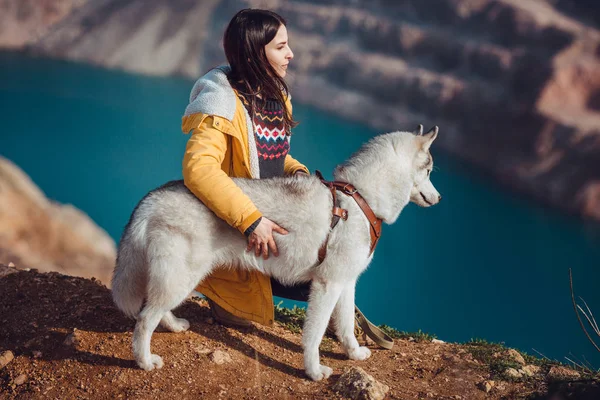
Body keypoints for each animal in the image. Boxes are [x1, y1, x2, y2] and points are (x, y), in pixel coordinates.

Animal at [111, 125, 440, 382]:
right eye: (428, 171)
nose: (439, 198)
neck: (360, 198)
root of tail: (153, 197)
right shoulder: (327, 285)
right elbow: (314, 335)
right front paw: (313, 371)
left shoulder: (346, 284)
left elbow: (347, 325)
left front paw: (353, 352)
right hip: (181, 277)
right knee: (144, 319)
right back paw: (144, 360)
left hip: (177, 279)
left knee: (154, 309)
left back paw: (174, 325)